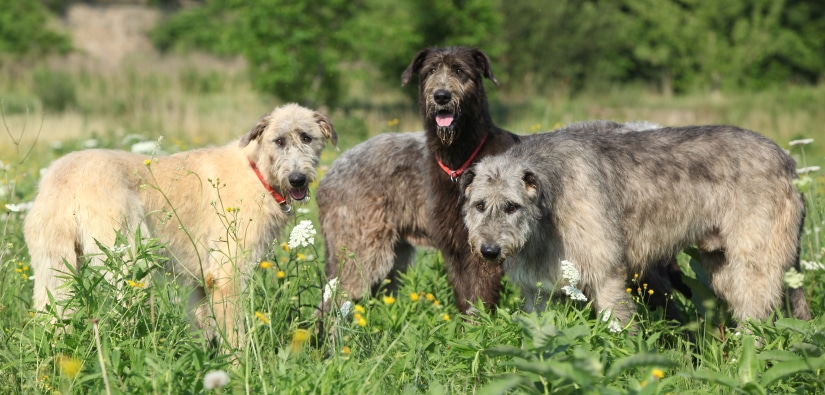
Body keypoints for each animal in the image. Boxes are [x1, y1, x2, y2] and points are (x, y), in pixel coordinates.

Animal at [460, 125, 808, 326]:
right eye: (480, 205)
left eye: (511, 206)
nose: (489, 251)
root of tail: (788, 162)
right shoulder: (537, 290)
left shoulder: (606, 272)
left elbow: (616, 325)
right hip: (722, 265)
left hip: (755, 262)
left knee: (757, 314)